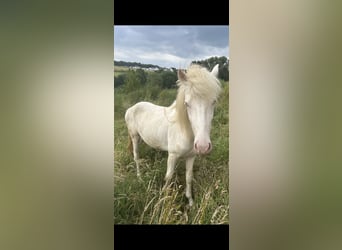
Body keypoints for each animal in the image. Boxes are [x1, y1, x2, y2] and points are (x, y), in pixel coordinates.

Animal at [124, 63, 220, 206]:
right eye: (187, 104)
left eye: (213, 102)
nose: (202, 146)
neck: (184, 130)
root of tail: (131, 108)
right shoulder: (172, 156)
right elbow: (168, 177)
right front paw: (163, 200)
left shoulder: (191, 157)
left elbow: (189, 177)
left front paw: (190, 202)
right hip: (134, 137)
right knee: (136, 157)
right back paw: (139, 177)